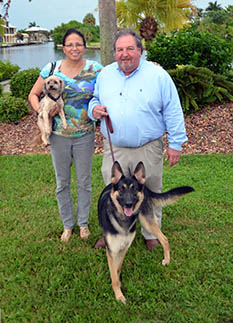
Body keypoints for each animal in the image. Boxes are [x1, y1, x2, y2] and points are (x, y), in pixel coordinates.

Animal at [97, 161, 194, 306]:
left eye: (134, 189)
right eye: (122, 189)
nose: (129, 204)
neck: (123, 219)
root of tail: (145, 188)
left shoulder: (123, 248)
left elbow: (116, 269)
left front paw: (118, 292)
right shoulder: (113, 251)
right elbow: (114, 273)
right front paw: (118, 292)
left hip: (147, 222)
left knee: (164, 238)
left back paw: (167, 260)